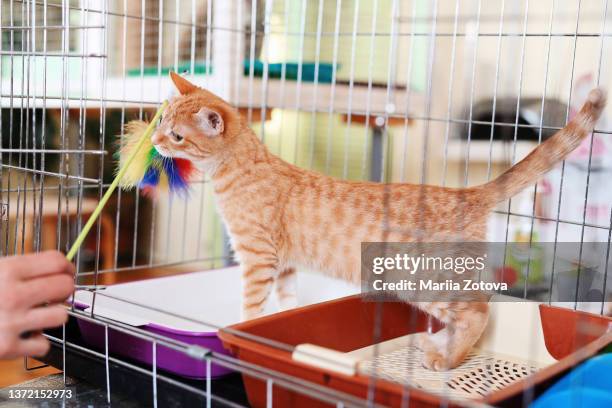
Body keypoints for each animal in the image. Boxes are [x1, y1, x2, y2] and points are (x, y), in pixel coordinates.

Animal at [153, 71, 608, 372]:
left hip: (420, 281)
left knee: (480, 310)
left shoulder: (257, 258)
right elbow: (285, 303)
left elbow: (249, 307)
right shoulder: (283, 265)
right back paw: (439, 343)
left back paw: (447, 357)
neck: (243, 166)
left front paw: (240, 327)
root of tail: (465, 193)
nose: (155, 142)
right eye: (160, 121)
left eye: (176, 136)